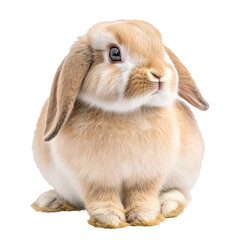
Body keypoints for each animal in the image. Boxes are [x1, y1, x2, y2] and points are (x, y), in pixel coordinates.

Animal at [31, 19, 208, 228]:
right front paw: (110, 219)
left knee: (181, 194)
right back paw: (51, 201)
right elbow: (101, 196)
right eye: (114, 53)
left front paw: (143, 216)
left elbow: (143, 193)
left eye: (161, 49)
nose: (159, 74)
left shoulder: (147, 175)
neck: (127, 111)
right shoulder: (94, 178)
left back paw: (167, 206)